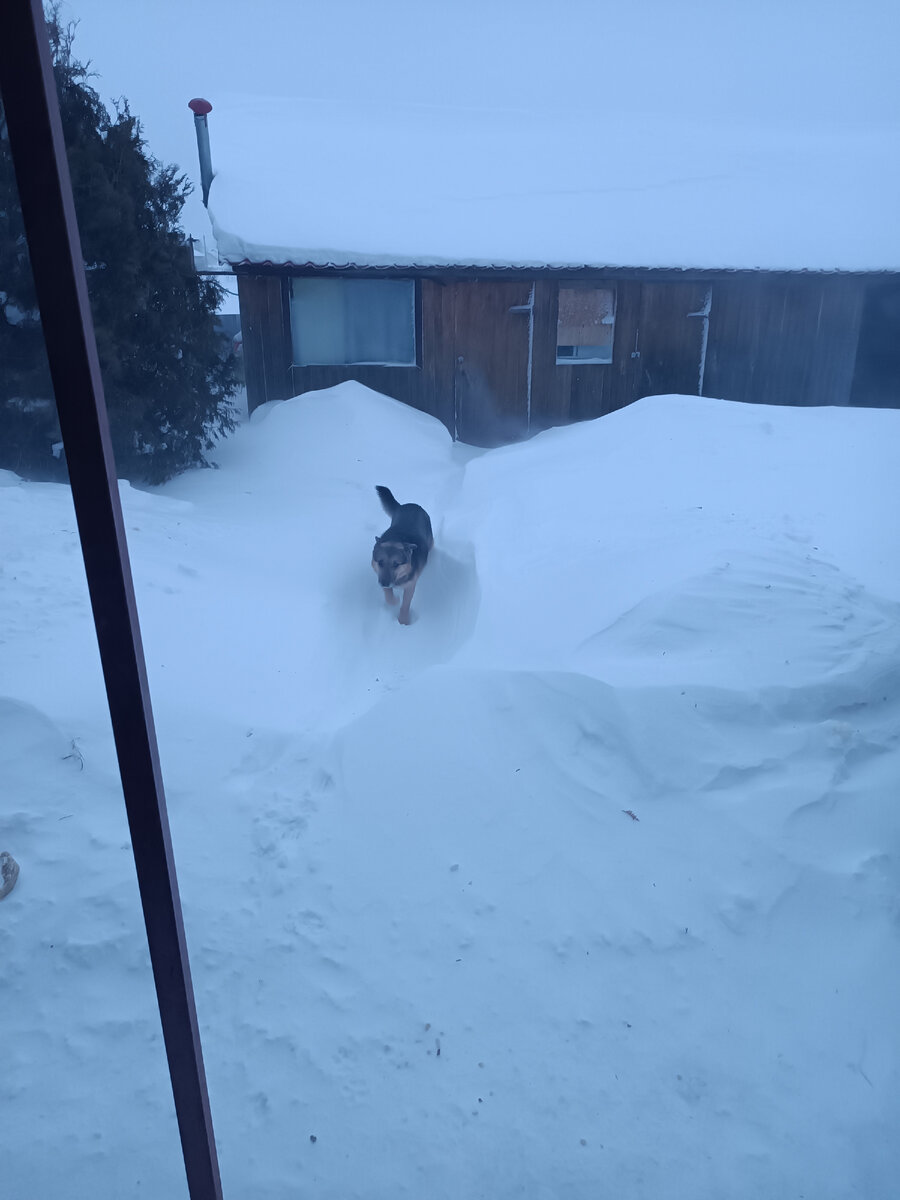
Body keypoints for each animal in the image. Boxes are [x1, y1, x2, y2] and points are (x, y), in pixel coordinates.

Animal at [369, 482, 434, 624]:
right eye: (380, 562)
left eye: (396, 564)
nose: (384, 583)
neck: (397, 539)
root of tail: (409, 504)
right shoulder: (381, 575)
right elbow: (388, 596)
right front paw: (394, 601)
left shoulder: (410, 586)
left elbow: (405, 604)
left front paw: (403, 621)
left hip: (431, 539)